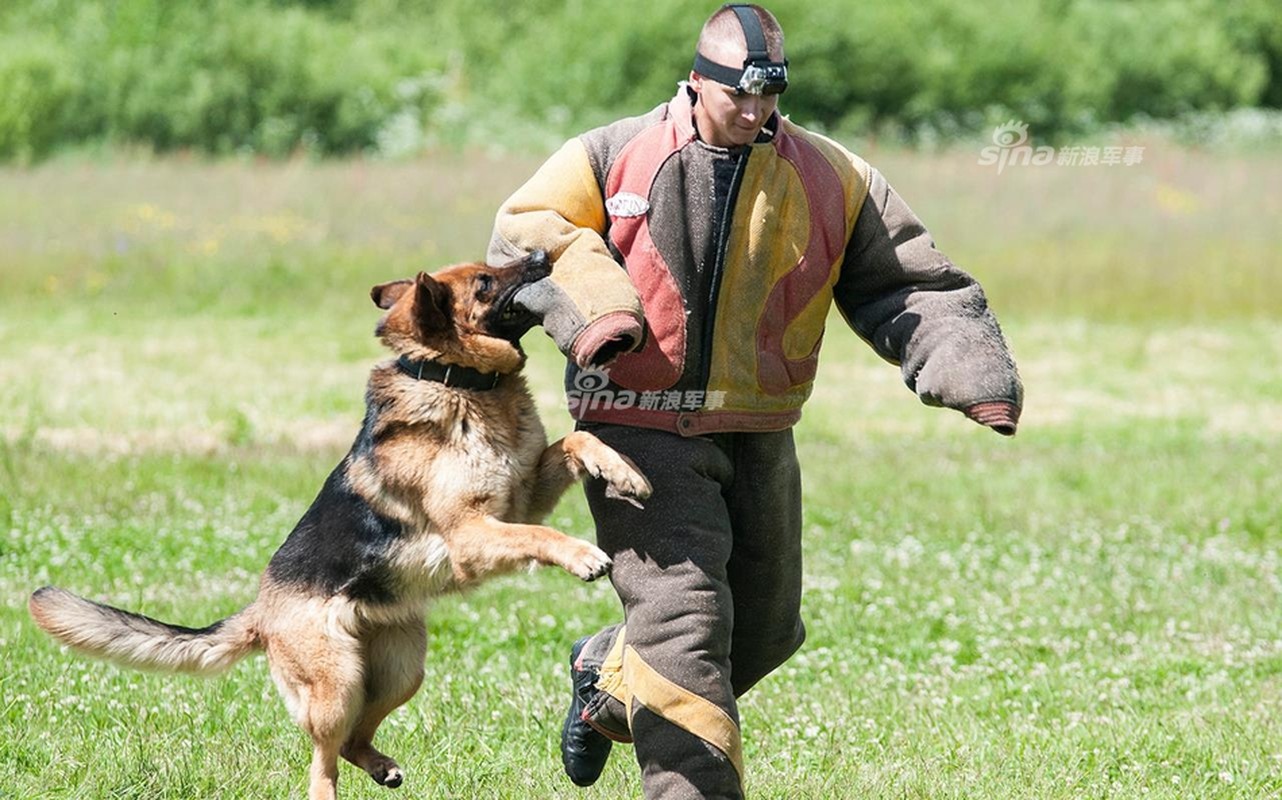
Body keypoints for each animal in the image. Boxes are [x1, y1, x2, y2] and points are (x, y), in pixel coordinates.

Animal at [30, 251, 651, 800]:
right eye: (484, 281)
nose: (545, 254)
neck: (456, 382)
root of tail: (261, 611)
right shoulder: (474, 534)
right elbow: (539, 535)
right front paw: (583, 554)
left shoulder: (522, 497)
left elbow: (575, 442)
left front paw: (626, 471)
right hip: (336, 685)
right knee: (322, 760)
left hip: (401, 669)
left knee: (356, 738)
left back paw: (380, 766)